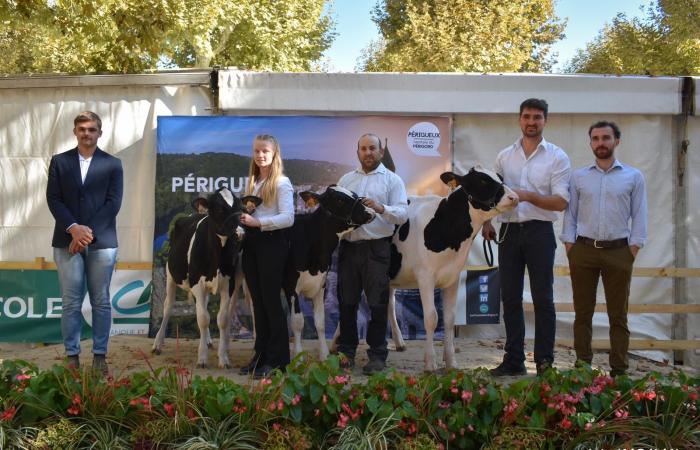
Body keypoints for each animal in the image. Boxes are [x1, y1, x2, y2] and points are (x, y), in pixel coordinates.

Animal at [151, 188, 260, 368]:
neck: (216, 256)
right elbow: (202, 318)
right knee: (168, 306)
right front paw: (202, 358)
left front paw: (223, 359)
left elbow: (222, 319)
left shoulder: (228, 285)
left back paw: (208, 340)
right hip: (171, 275)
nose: (240, 233)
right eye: (218, 208)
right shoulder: (197, 283)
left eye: (242, 209)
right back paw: (158, 344)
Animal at [282, 185, 374, 360]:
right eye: (339, 200)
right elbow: (297, 322)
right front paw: (298, 357)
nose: (370, 212)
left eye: (354, 194)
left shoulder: (321, 285)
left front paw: (324, 355)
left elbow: (320, 322)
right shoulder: (291, 286)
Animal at [334, 167, 520, 370]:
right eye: (483, 180)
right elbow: (431, 318)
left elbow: (449, 319)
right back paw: (335, 344)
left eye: (500, 178)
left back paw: (399, 343)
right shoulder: (425, 277)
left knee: (388, 303)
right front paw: (430, 363)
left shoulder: (453, 277)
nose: (514, 197)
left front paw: (451, 362)